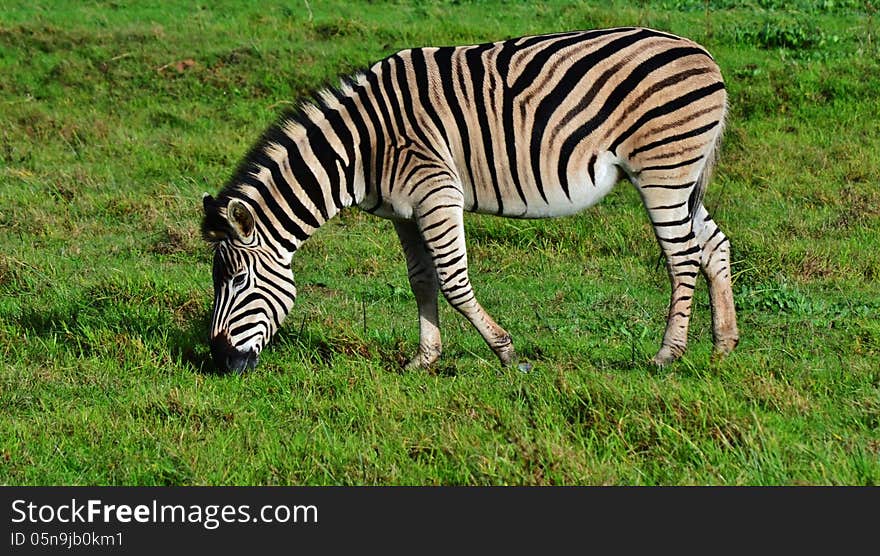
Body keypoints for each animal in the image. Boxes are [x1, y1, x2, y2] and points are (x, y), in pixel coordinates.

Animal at [199, 26, 736, 374]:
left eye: (240, 281)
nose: (220, 363)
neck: (361, 148)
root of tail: (702, 52)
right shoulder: (404, 212)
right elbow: (421, 281)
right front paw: (424, 359)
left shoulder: (436, 191)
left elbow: (455, 284)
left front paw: (507, 354)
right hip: (679, 177)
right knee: (714, 245)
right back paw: (723, 345)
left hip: (662, 171)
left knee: (683, 257)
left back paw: (668, 355)